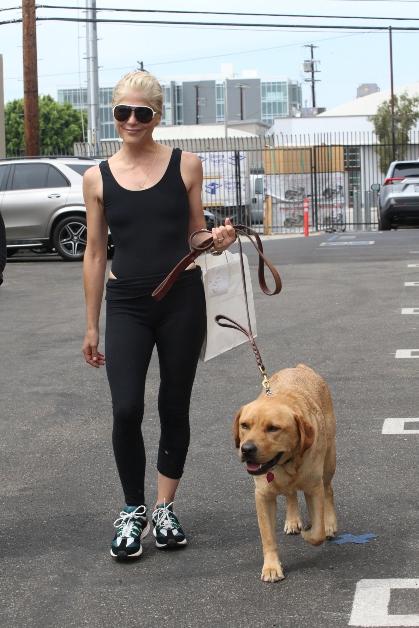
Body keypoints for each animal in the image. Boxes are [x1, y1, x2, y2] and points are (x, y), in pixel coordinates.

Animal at [233, 366, 338, 580]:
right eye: (245, 425)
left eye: (273, 428)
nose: (247, 449)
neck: (285, 464)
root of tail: (300, 367)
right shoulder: (263, 496)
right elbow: (267, 537)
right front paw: (271, 567)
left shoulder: (314, 489)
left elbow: (318, 533)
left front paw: (311, 532)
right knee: (290, 494)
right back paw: (292, 520)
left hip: (329, 462)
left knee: (328, 490)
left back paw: (330, 523)